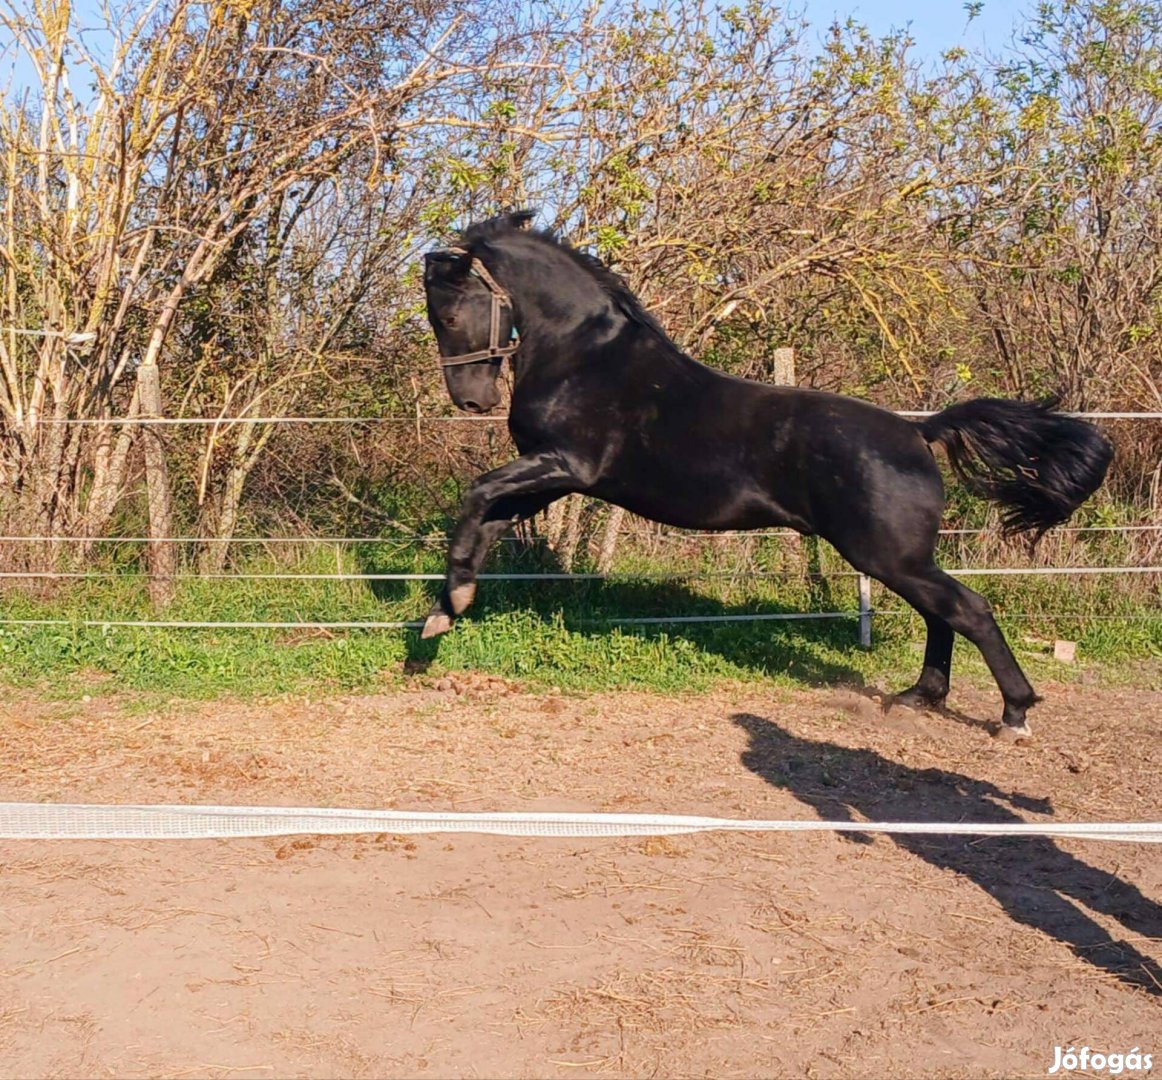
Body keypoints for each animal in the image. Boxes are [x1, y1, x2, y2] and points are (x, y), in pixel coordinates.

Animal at [422, 210, 1110, 739]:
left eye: (449, 316)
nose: (471, 401)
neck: (586, 357)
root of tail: (919, 432)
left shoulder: (565, 465)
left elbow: (479, 494)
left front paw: (443, 610)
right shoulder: (556, 479)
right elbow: (489, 517)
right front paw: (449, 607)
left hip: (887, 555)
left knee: (968, 609)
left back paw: (1013, 714)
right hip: (899, 559)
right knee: (943, 612)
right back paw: (918, 697)